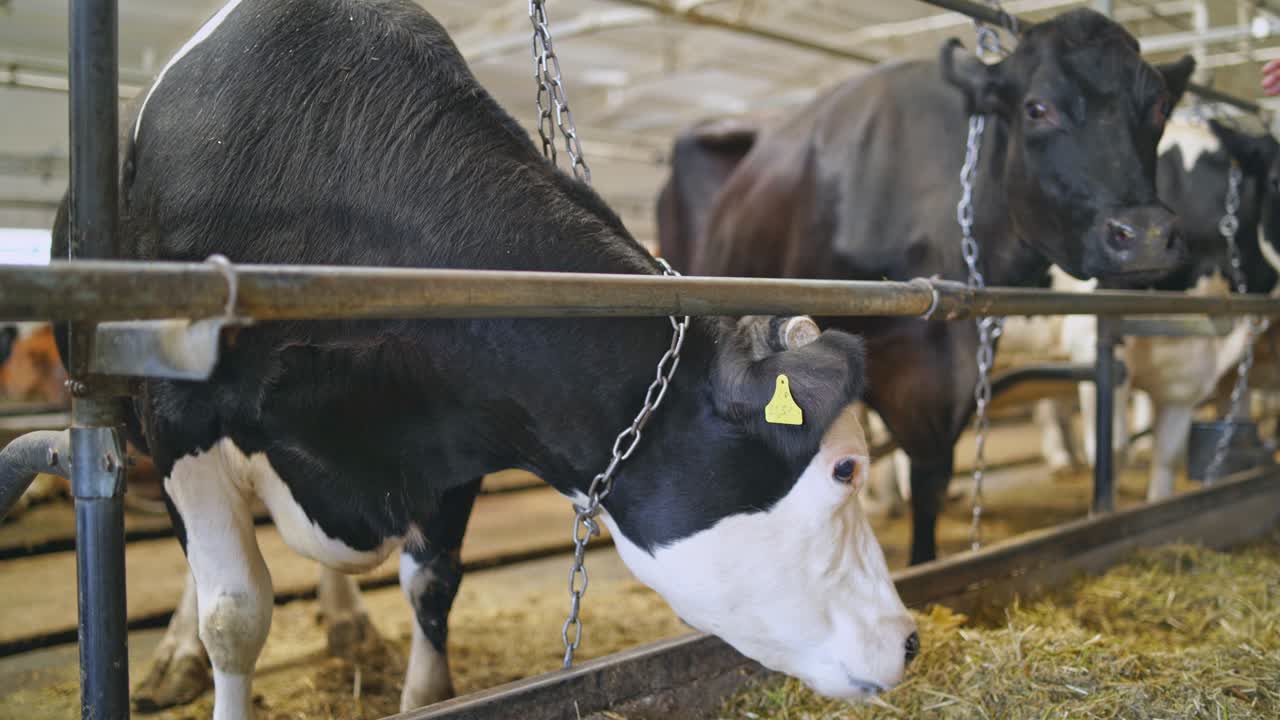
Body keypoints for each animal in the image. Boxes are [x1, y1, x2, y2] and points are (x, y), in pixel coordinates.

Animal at [53, 1, 918, 716]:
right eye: (845, 468)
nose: (908, 639)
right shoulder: (178, 419)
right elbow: (235, 612)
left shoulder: (454, 422)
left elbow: (434, 582)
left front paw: (425, 693)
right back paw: (176, 653)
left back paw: (347, 623)